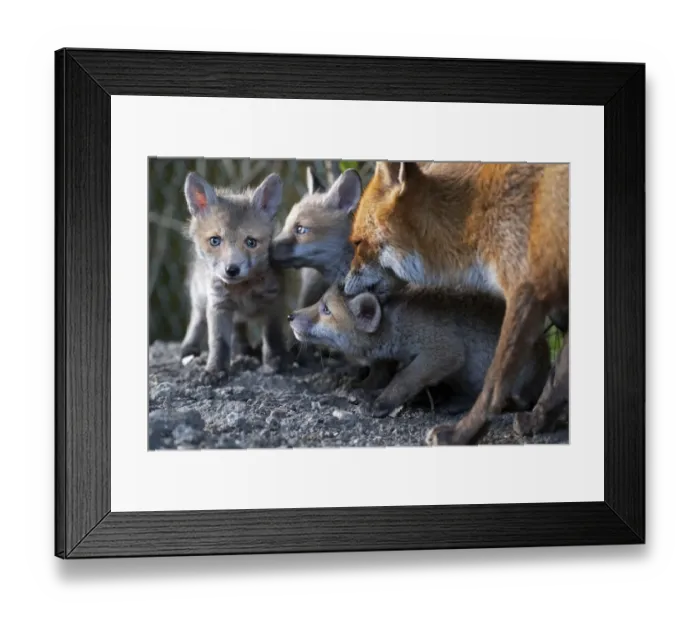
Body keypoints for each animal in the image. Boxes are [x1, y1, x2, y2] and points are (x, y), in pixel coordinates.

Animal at [179, 171, 288, 374]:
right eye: (215, 240)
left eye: (251, 242)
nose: (232, 270)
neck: (242, 291)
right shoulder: (218, 304)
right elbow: (218, 342)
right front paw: (215, 369)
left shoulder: (273, 301)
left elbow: (272, 337)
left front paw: (275, 361)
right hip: (200, 299)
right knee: (197, 320)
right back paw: (189, 350)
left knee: (239, 331)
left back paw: (243, 351)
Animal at [288, 281, 551, 419]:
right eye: (319, 303)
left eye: (326, 310)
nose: (290, 316)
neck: (400, 320)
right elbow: (385, 375)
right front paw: (364, 388)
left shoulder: (443, 351)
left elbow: (404, 378)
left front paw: (382, 402)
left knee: (517, 402)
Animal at [343, 161, 569, 444]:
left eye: (357, 242)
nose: (343, 286)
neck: (477, 215)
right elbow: (558, 379)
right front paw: (540, 422)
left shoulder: (524, 292)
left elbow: (495, 382)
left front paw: (463, 434)